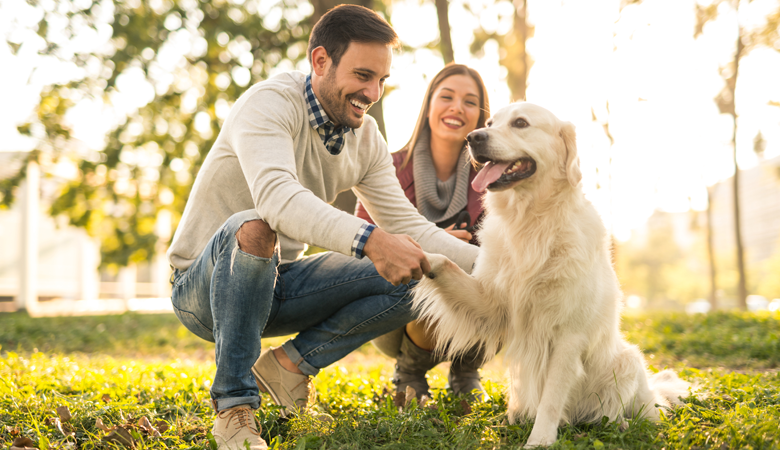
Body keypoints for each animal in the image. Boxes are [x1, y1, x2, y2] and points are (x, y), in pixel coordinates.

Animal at [414, 103, 688, 448]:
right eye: (489, 122)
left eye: (520, 123)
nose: (473, 137)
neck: (532, 220)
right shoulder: (492, 304)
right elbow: (446, 265)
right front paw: (408, 251)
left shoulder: (568, 335)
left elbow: (552, 397)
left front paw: (540, 440)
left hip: (627, 361)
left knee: (637, 413)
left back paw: (622, 424)